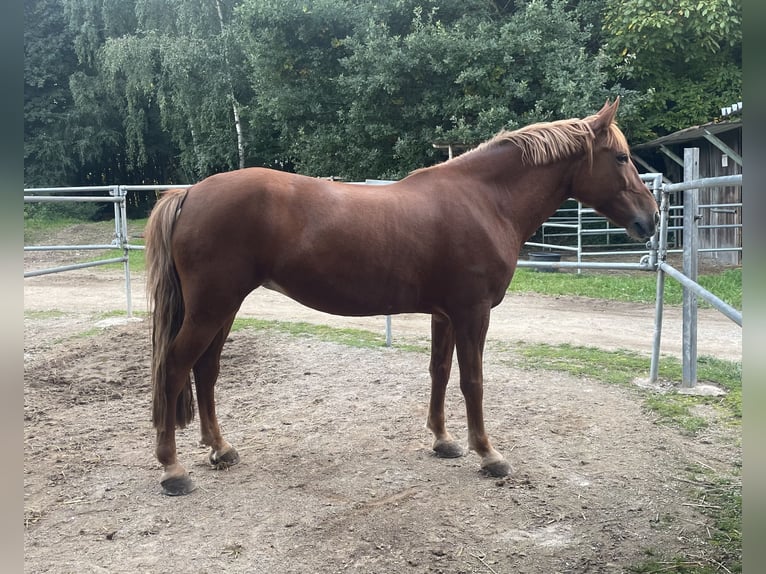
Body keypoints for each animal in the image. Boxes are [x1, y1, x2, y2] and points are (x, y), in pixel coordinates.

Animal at [144, 98, 658, 496]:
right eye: (620, 158)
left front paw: (443, 441)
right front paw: (488, 454)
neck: (484, 200)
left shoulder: (444, 314)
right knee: (175, 367)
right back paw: (173, 469)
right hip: (212, 307)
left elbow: (439, 371)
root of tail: (189, 193)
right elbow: (473, 381)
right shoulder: (472, 313)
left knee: (206, 371)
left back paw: (221, 449)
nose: (651, 220)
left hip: (223, 308)